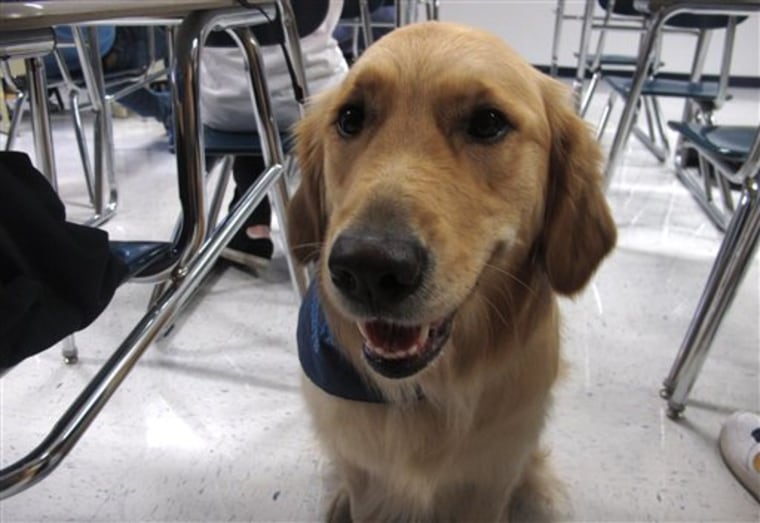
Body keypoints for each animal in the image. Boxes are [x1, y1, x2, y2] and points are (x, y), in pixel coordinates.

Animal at [286, 21, 616, 523]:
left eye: (488, 122)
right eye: (350, 118)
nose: (369, 267)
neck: (428, 388)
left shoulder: (491, 479)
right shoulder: (366, 477)